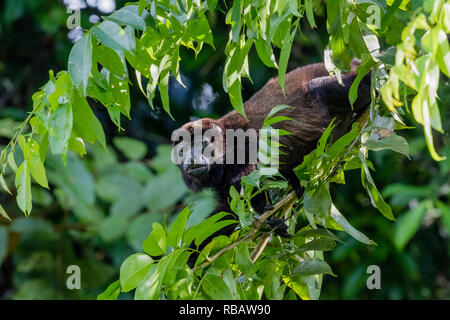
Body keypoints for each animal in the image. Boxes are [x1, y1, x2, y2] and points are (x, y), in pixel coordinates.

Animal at [171, 59, 370, 264]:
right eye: (182, 150)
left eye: (201, 144)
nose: (191, 158)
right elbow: (227, 210)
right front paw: (190, 259)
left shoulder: (241, 148)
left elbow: (247, 185)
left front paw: (267, 217)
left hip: (359, 79)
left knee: (317, 88)